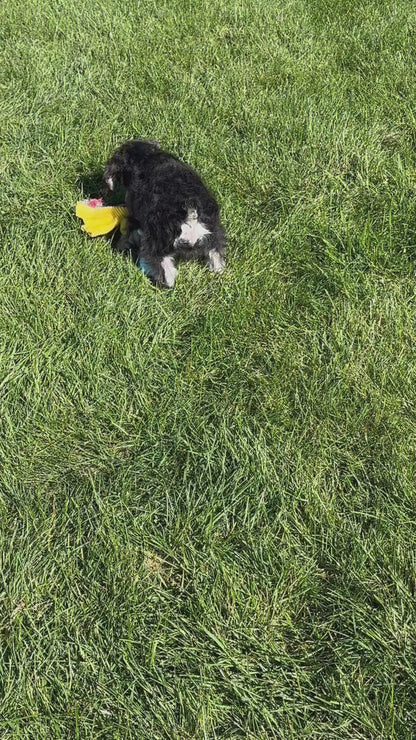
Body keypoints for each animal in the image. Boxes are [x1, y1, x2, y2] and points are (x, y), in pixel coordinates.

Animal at [105, 139, 226, 286]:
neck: (145, 158)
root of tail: (190, 214)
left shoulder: (134, 218)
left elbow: (127, 234)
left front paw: (119, 247)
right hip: (214, 234)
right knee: (216, 254)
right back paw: (218, 272)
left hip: (157, 245)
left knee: (166, 272)